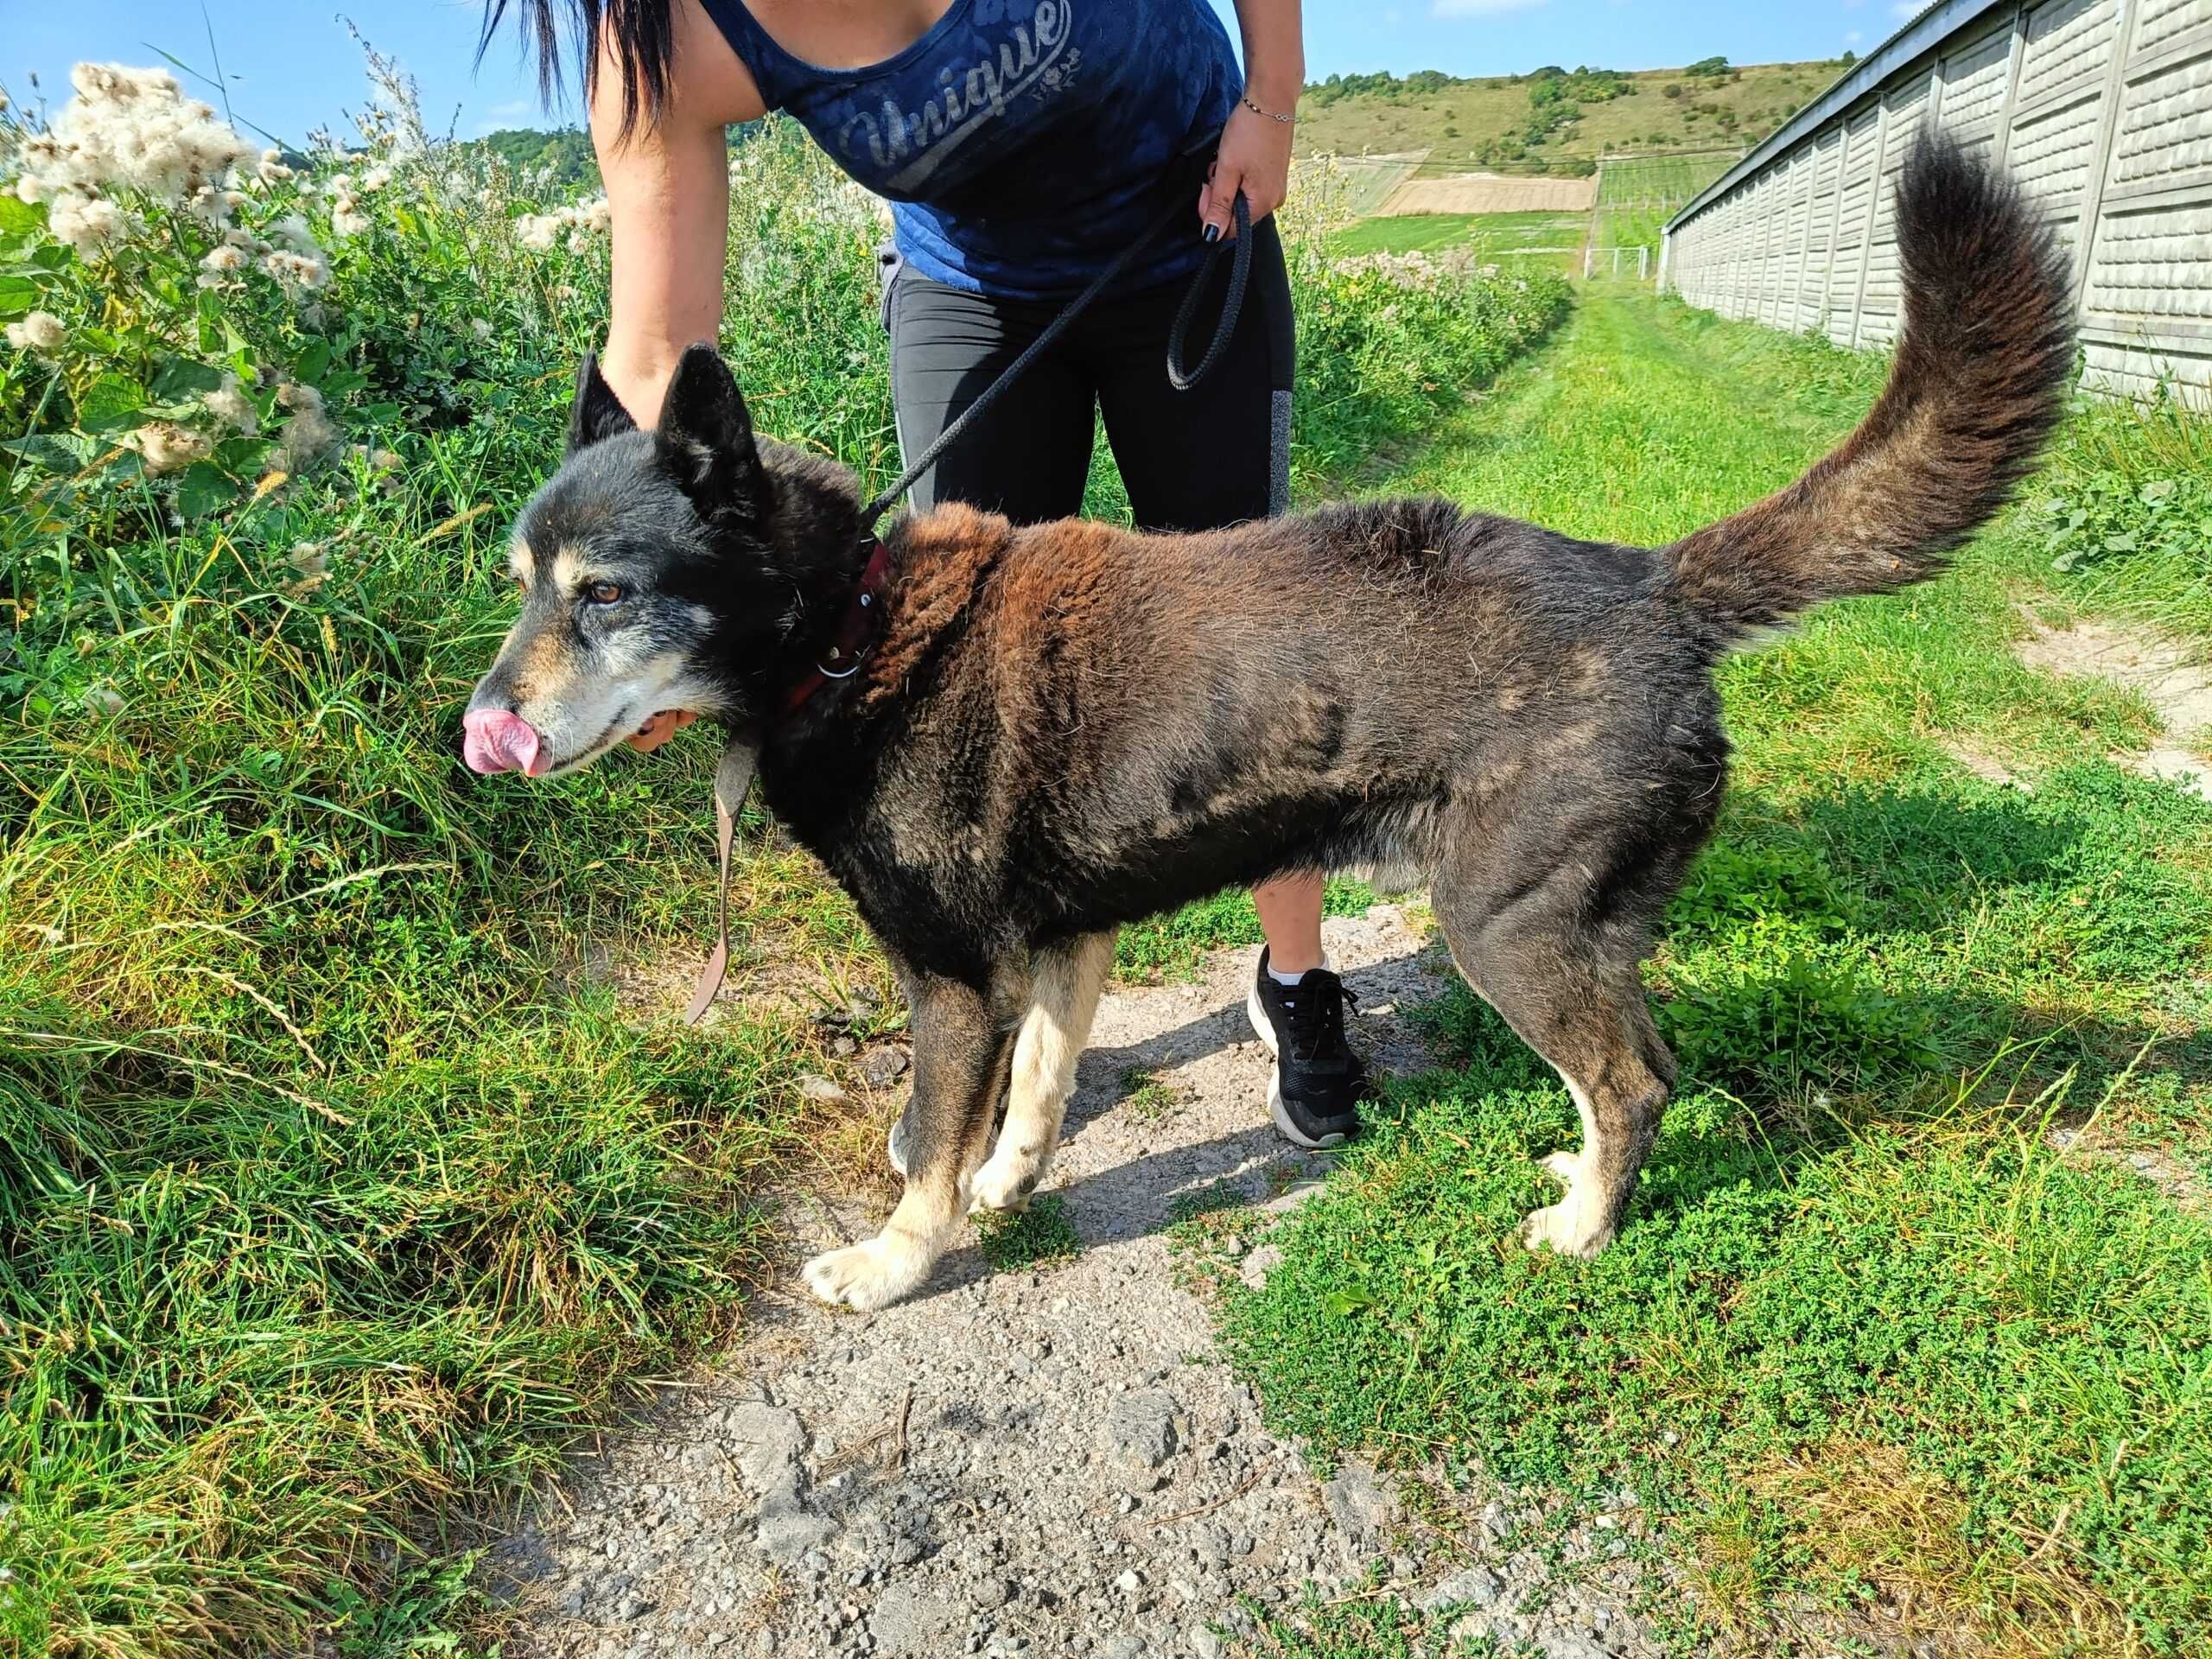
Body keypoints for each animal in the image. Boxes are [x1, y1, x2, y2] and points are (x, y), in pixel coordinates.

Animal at [462, 139, 2070, 1309]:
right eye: (520, 583)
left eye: (605, 595)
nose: (478, 731)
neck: (847, 628)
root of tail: (1652, 584)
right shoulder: (1066, 940)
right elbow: (1036, 1089)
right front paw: (1009, 1184)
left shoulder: (956, 982)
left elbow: (930, 1148)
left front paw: (897, 1260)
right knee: (1639, 1073)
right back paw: (1576, 1192)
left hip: (1514, 929)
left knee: (1637, 1081)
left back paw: (1586, 1234)